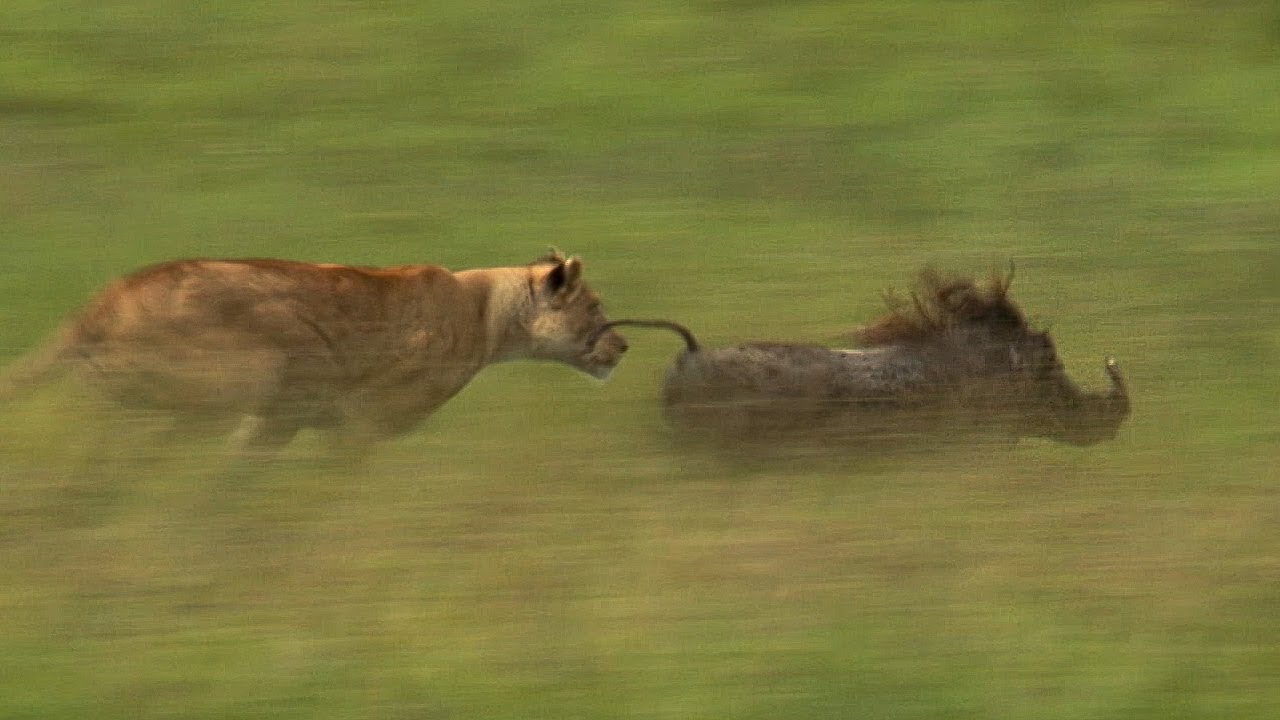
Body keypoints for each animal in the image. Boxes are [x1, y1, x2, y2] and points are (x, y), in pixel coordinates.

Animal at [0, 250, 628, 457]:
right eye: (596, 307)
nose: (624, 343)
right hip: (252, 368)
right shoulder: (361, 422)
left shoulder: (274, 422)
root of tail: (96, 306)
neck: (487, 314)